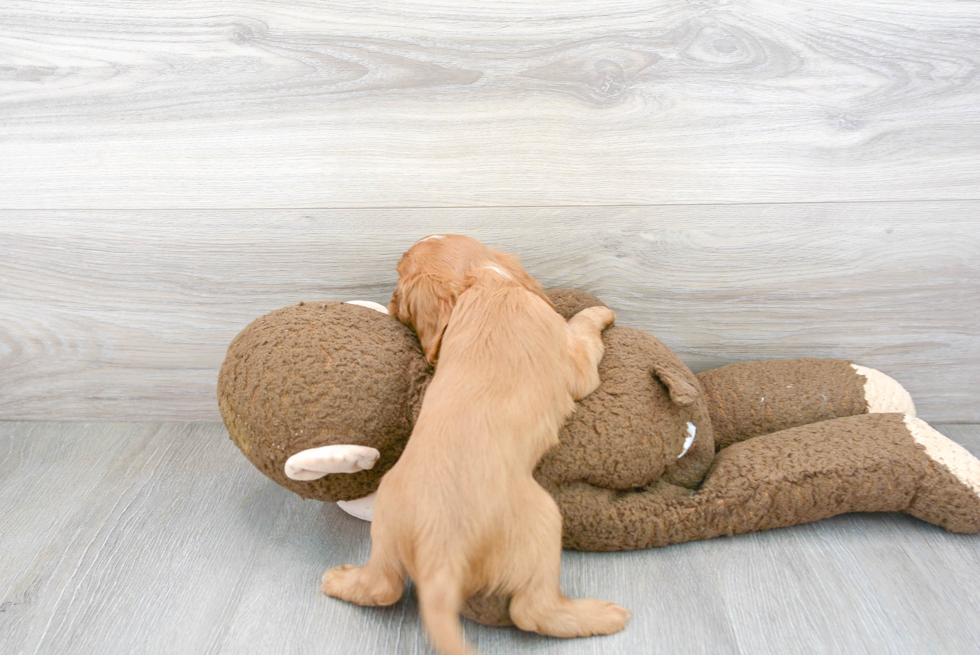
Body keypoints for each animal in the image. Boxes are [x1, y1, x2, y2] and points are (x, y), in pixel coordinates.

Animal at [322, 236, 628, 655]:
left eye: (399, 279)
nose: (390, 301)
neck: (485, 284)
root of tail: (440, 552)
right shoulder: (578, 365)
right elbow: (582, 327)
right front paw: (599, 311)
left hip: (386, 528)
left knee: (383, 586)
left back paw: (337, 580)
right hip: (544, 520)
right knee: (532, 611)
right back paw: (601, 615)